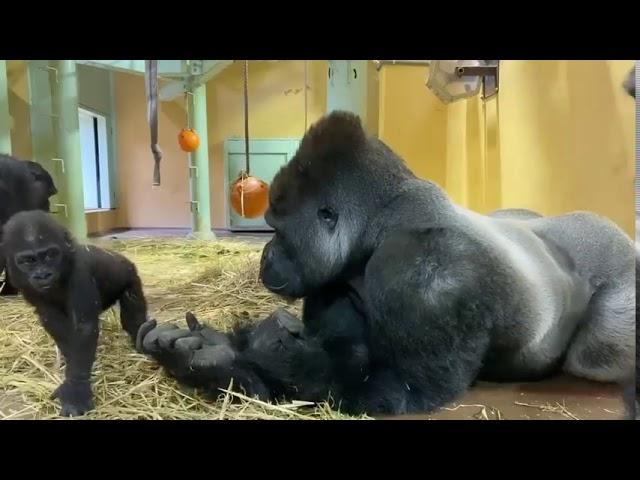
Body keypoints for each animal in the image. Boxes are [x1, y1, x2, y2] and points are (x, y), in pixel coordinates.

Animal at [0, 210, 148, 416]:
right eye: (28, 261)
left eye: (51, 255)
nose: (43, 275)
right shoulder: (25, 286)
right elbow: (55, 323)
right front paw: (69, 374)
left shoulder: (79, 273)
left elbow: (84, 328)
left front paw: (76, 390)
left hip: (130, 275)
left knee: (132, 317)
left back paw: (139, 336)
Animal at [136, 109, 636, 416]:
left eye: (278, 229)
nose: (266, 255)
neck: (379, 225)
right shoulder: (336, 280)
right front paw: (209, 355)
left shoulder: (421, 274)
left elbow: (397, 388)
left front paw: (265, 351)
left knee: (599, 347)